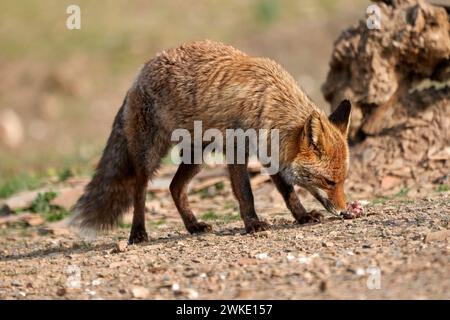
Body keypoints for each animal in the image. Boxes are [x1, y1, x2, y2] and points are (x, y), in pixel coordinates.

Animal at [71, 40, 352, 245]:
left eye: (342, 181)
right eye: (329, 182)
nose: (344, 211)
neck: (266, 102)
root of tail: (139, 73)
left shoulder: (271, 154)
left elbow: (288, 192)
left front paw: (302, 216)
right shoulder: (238, 152)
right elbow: (246, 194)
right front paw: (253, 224)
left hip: (198, 158)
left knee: (175, 187)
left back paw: (193, 225)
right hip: (149, 155)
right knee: (139, 192)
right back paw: (138, 233)